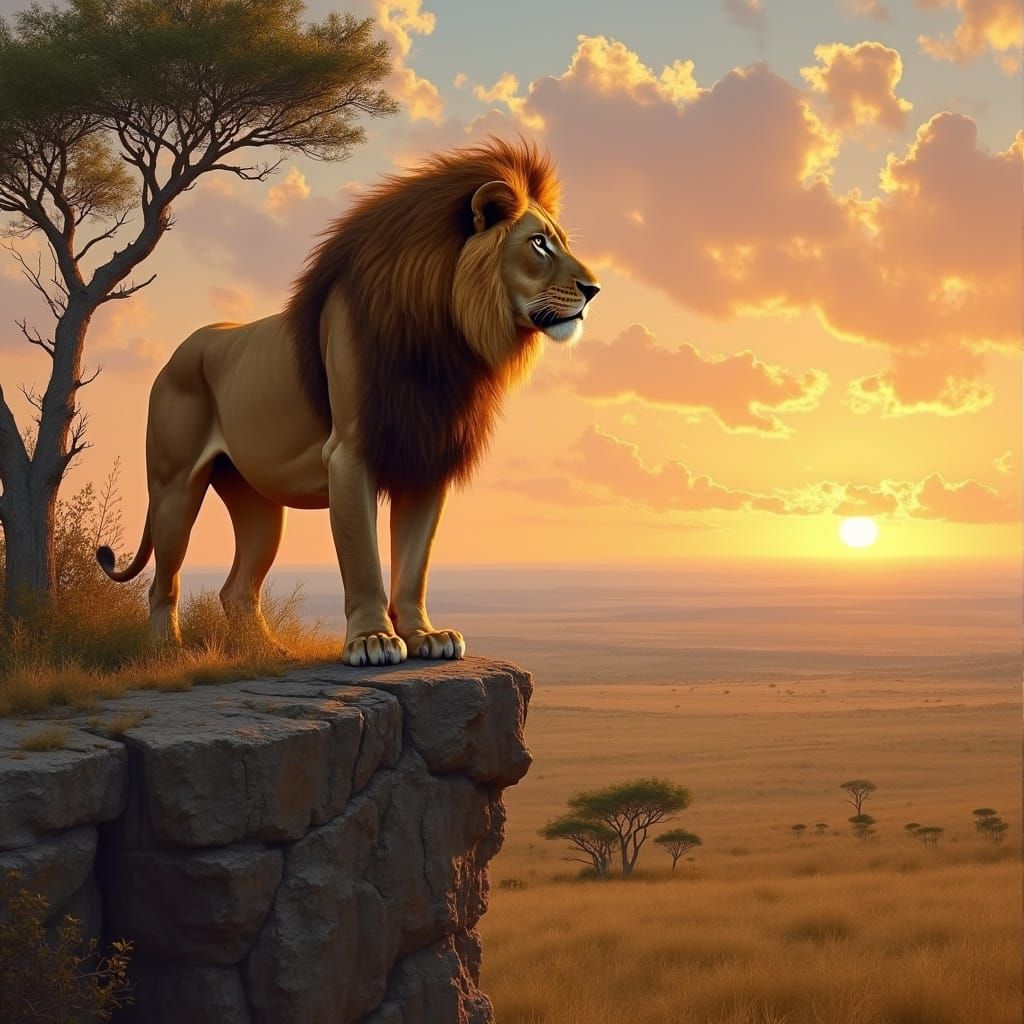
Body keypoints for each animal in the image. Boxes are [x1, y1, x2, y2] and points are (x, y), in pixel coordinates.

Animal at [97, 138, 601, 666]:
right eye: (538, 243)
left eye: (561, 241)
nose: (594, 289)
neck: (445, 338)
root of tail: (178, 350)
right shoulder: (350, 455)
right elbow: (363, 559)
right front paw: (372, 640)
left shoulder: (426, 457)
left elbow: (414, 562)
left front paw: (426, 635)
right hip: (174, 487)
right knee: (163, 583)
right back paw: (166, 654)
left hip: (258, 502)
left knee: (237, 590)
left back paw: (271, 654)